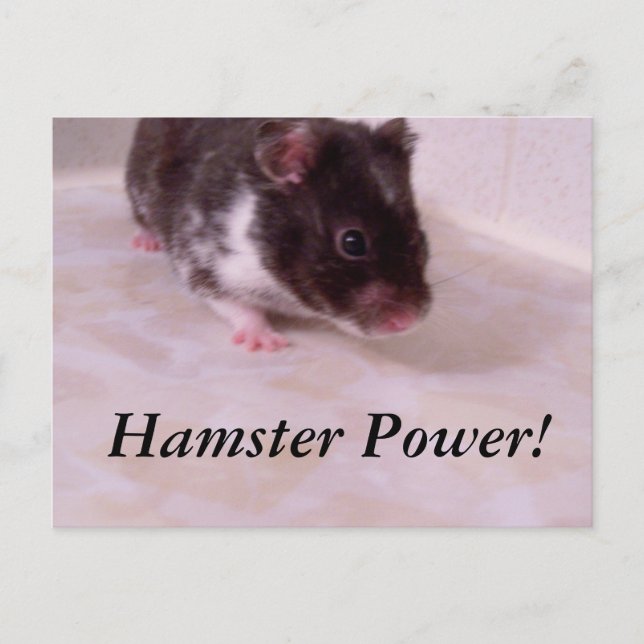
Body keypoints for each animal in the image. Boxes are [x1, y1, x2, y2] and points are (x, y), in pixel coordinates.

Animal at [125, 118, 431, 351]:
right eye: (352, 242)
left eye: (419, 236)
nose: (408, 321)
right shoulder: (203, 262)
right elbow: (238, 307)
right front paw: (268, 344)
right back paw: (146, 242)